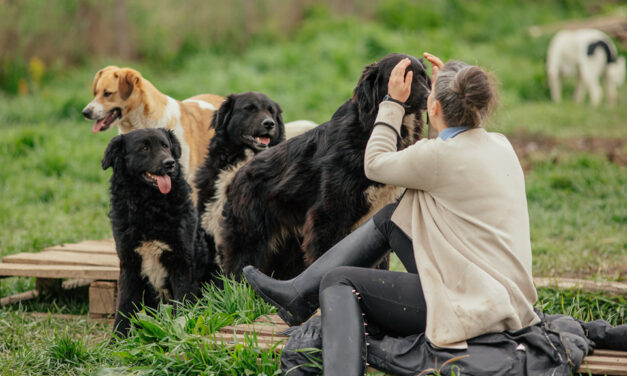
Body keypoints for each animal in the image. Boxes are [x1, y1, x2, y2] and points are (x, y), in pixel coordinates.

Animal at [102, 128, 218, 336]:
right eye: (144, 148)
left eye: (165, 146)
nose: (169, 163)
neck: (150, 205)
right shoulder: (129, 262)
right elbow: (123, 307)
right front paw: (116, 340)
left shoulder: (181, 262)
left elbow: (182, 303)